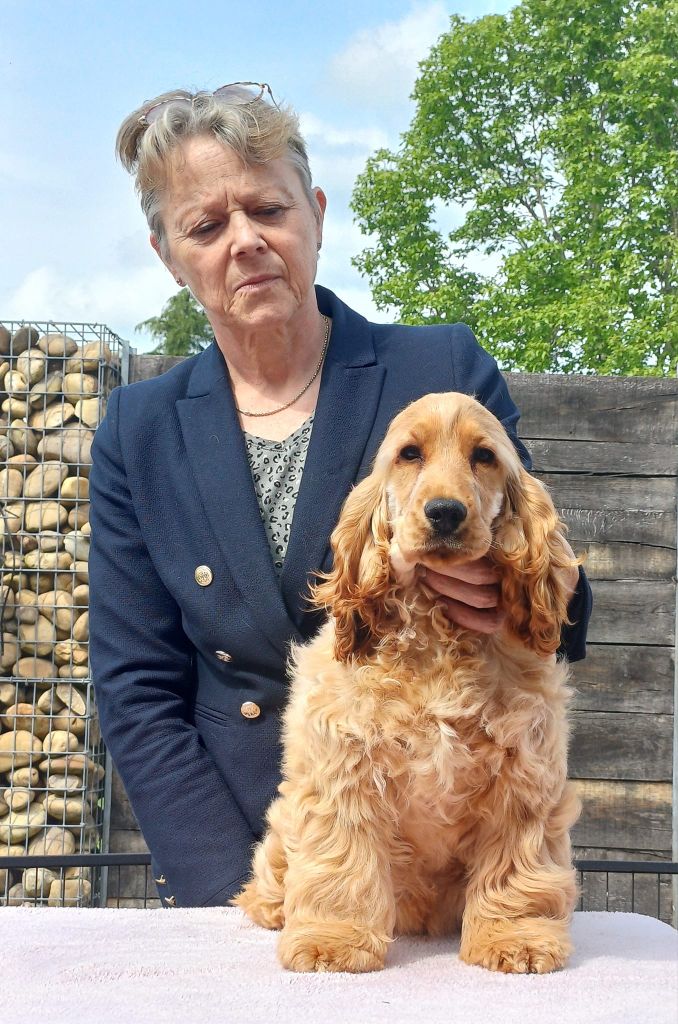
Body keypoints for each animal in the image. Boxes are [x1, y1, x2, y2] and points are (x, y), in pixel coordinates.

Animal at [236, 391, 581, 974]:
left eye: (484, 456)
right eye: (409, 454)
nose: (445, 512)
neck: (437, 633)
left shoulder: (524, 776)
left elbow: (516, 867)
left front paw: (515, 938)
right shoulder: (344, 767)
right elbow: (341, 861)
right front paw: (332, 940)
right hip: (284, 825)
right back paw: (271, 908)